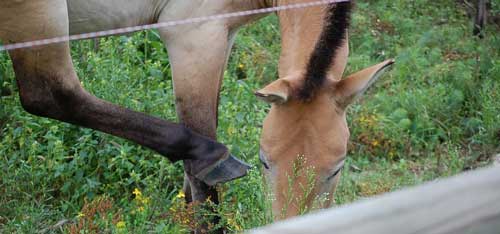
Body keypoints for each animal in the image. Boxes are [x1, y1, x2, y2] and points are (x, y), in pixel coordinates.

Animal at [0, 0, 392, 229]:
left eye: (336, 170)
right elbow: (204, 169)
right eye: (264, 162)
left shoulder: (224, 34)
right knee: (49, 92)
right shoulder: (195, 32)